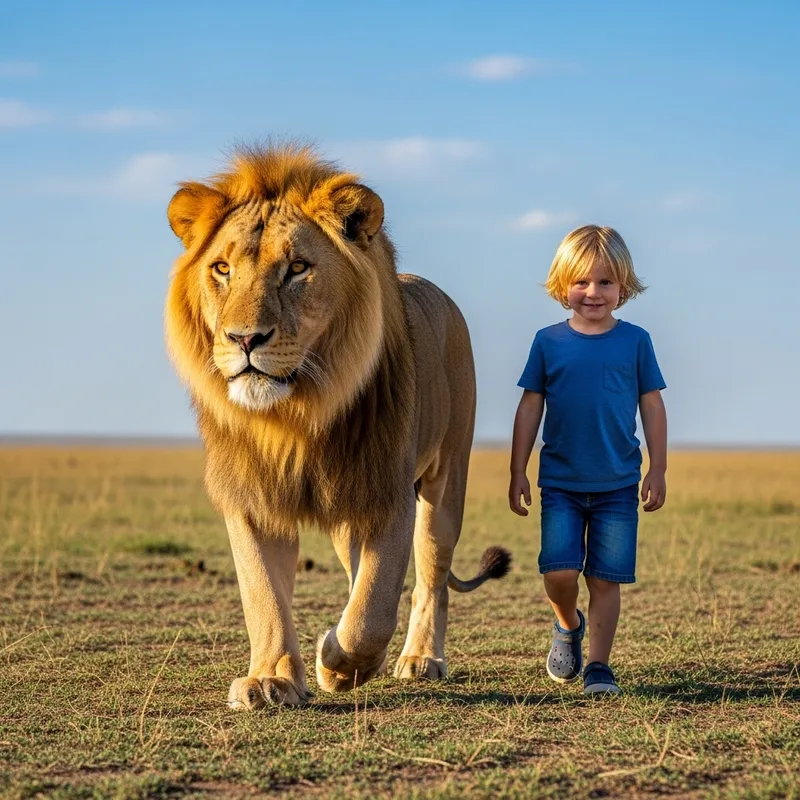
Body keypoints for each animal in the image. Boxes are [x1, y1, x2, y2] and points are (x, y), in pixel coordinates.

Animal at [164, 144, 510, 709]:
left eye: (297, 268)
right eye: (221, 268)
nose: (244, 339)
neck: (295, 416)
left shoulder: (387, 491)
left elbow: (373, 609)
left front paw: (337, 664)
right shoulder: (252, 495)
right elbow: (263, 593)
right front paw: (271, 679)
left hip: (444, 482)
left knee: (431, 578)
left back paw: (420, 659)